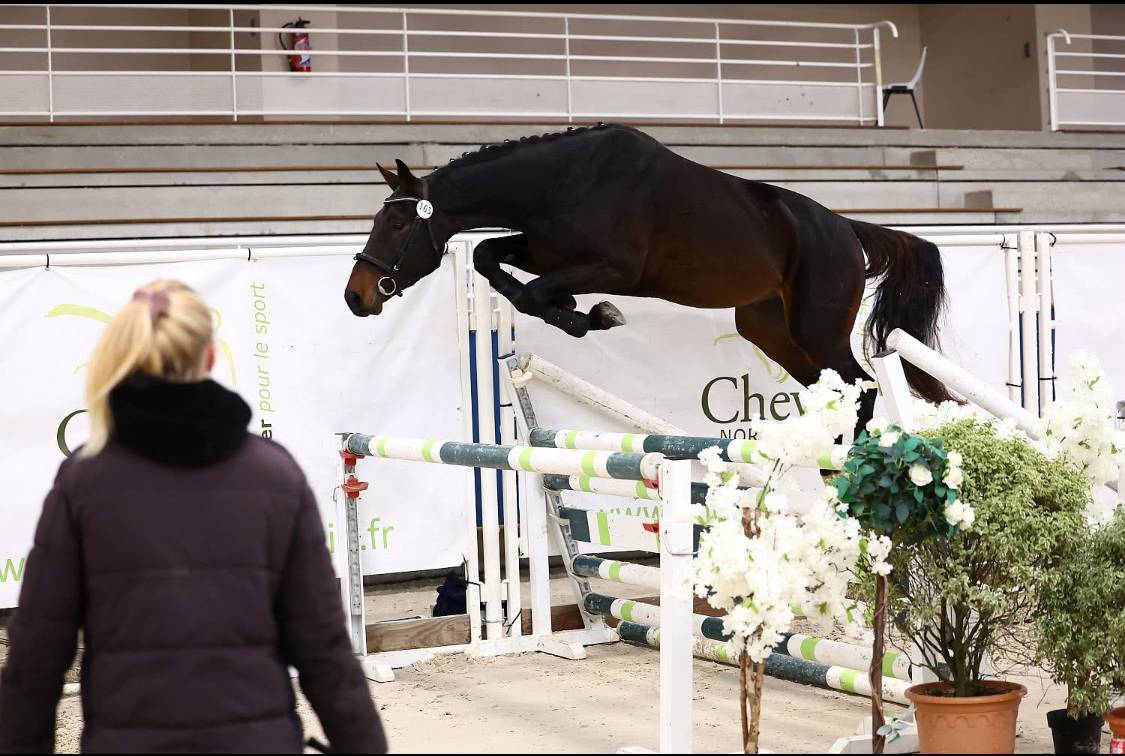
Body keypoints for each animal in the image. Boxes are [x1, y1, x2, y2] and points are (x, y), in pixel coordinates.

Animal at [344, 124, 954, 430]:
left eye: (397, 223)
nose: (356, 297)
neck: (559, 182)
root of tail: (847, 229)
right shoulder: (543, 249)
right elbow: (490, 259)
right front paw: (579, 310)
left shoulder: (615, 267)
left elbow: (536, 291)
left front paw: (590, 315)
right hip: (770, 330)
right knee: (838, 388)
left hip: (816, 328)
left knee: (864, 386)